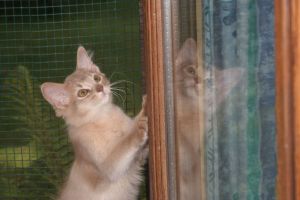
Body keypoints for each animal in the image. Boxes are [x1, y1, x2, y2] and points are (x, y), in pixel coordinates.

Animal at [40, 46, 148, 200]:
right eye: (82, 93)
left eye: (96, 78)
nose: (100, 87)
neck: (105, 118)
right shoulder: (108, 168)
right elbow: (126, 143)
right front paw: (141, 122)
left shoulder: (139, 159)